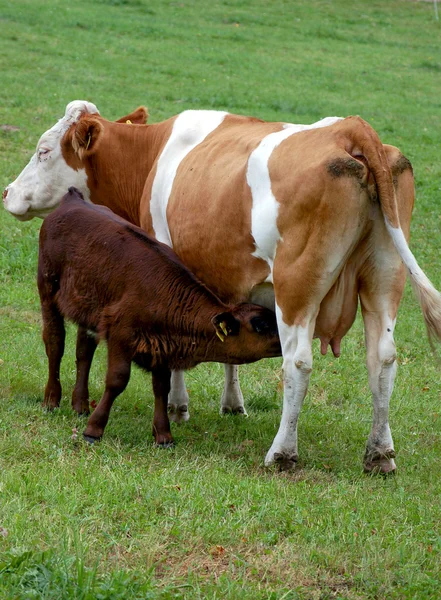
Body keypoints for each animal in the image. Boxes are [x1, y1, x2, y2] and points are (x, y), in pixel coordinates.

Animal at [37, 188, 278, 446]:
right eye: (260, 325)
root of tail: (73, 198)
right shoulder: (121, 335)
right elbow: (117, 380)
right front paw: (94, 429)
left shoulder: (161, 346)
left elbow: (162, 387)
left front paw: (163, 435)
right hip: (47, 290)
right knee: (55, 343)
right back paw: (51, 399)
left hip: (88, 307)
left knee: (84, 351)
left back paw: (80, 404)